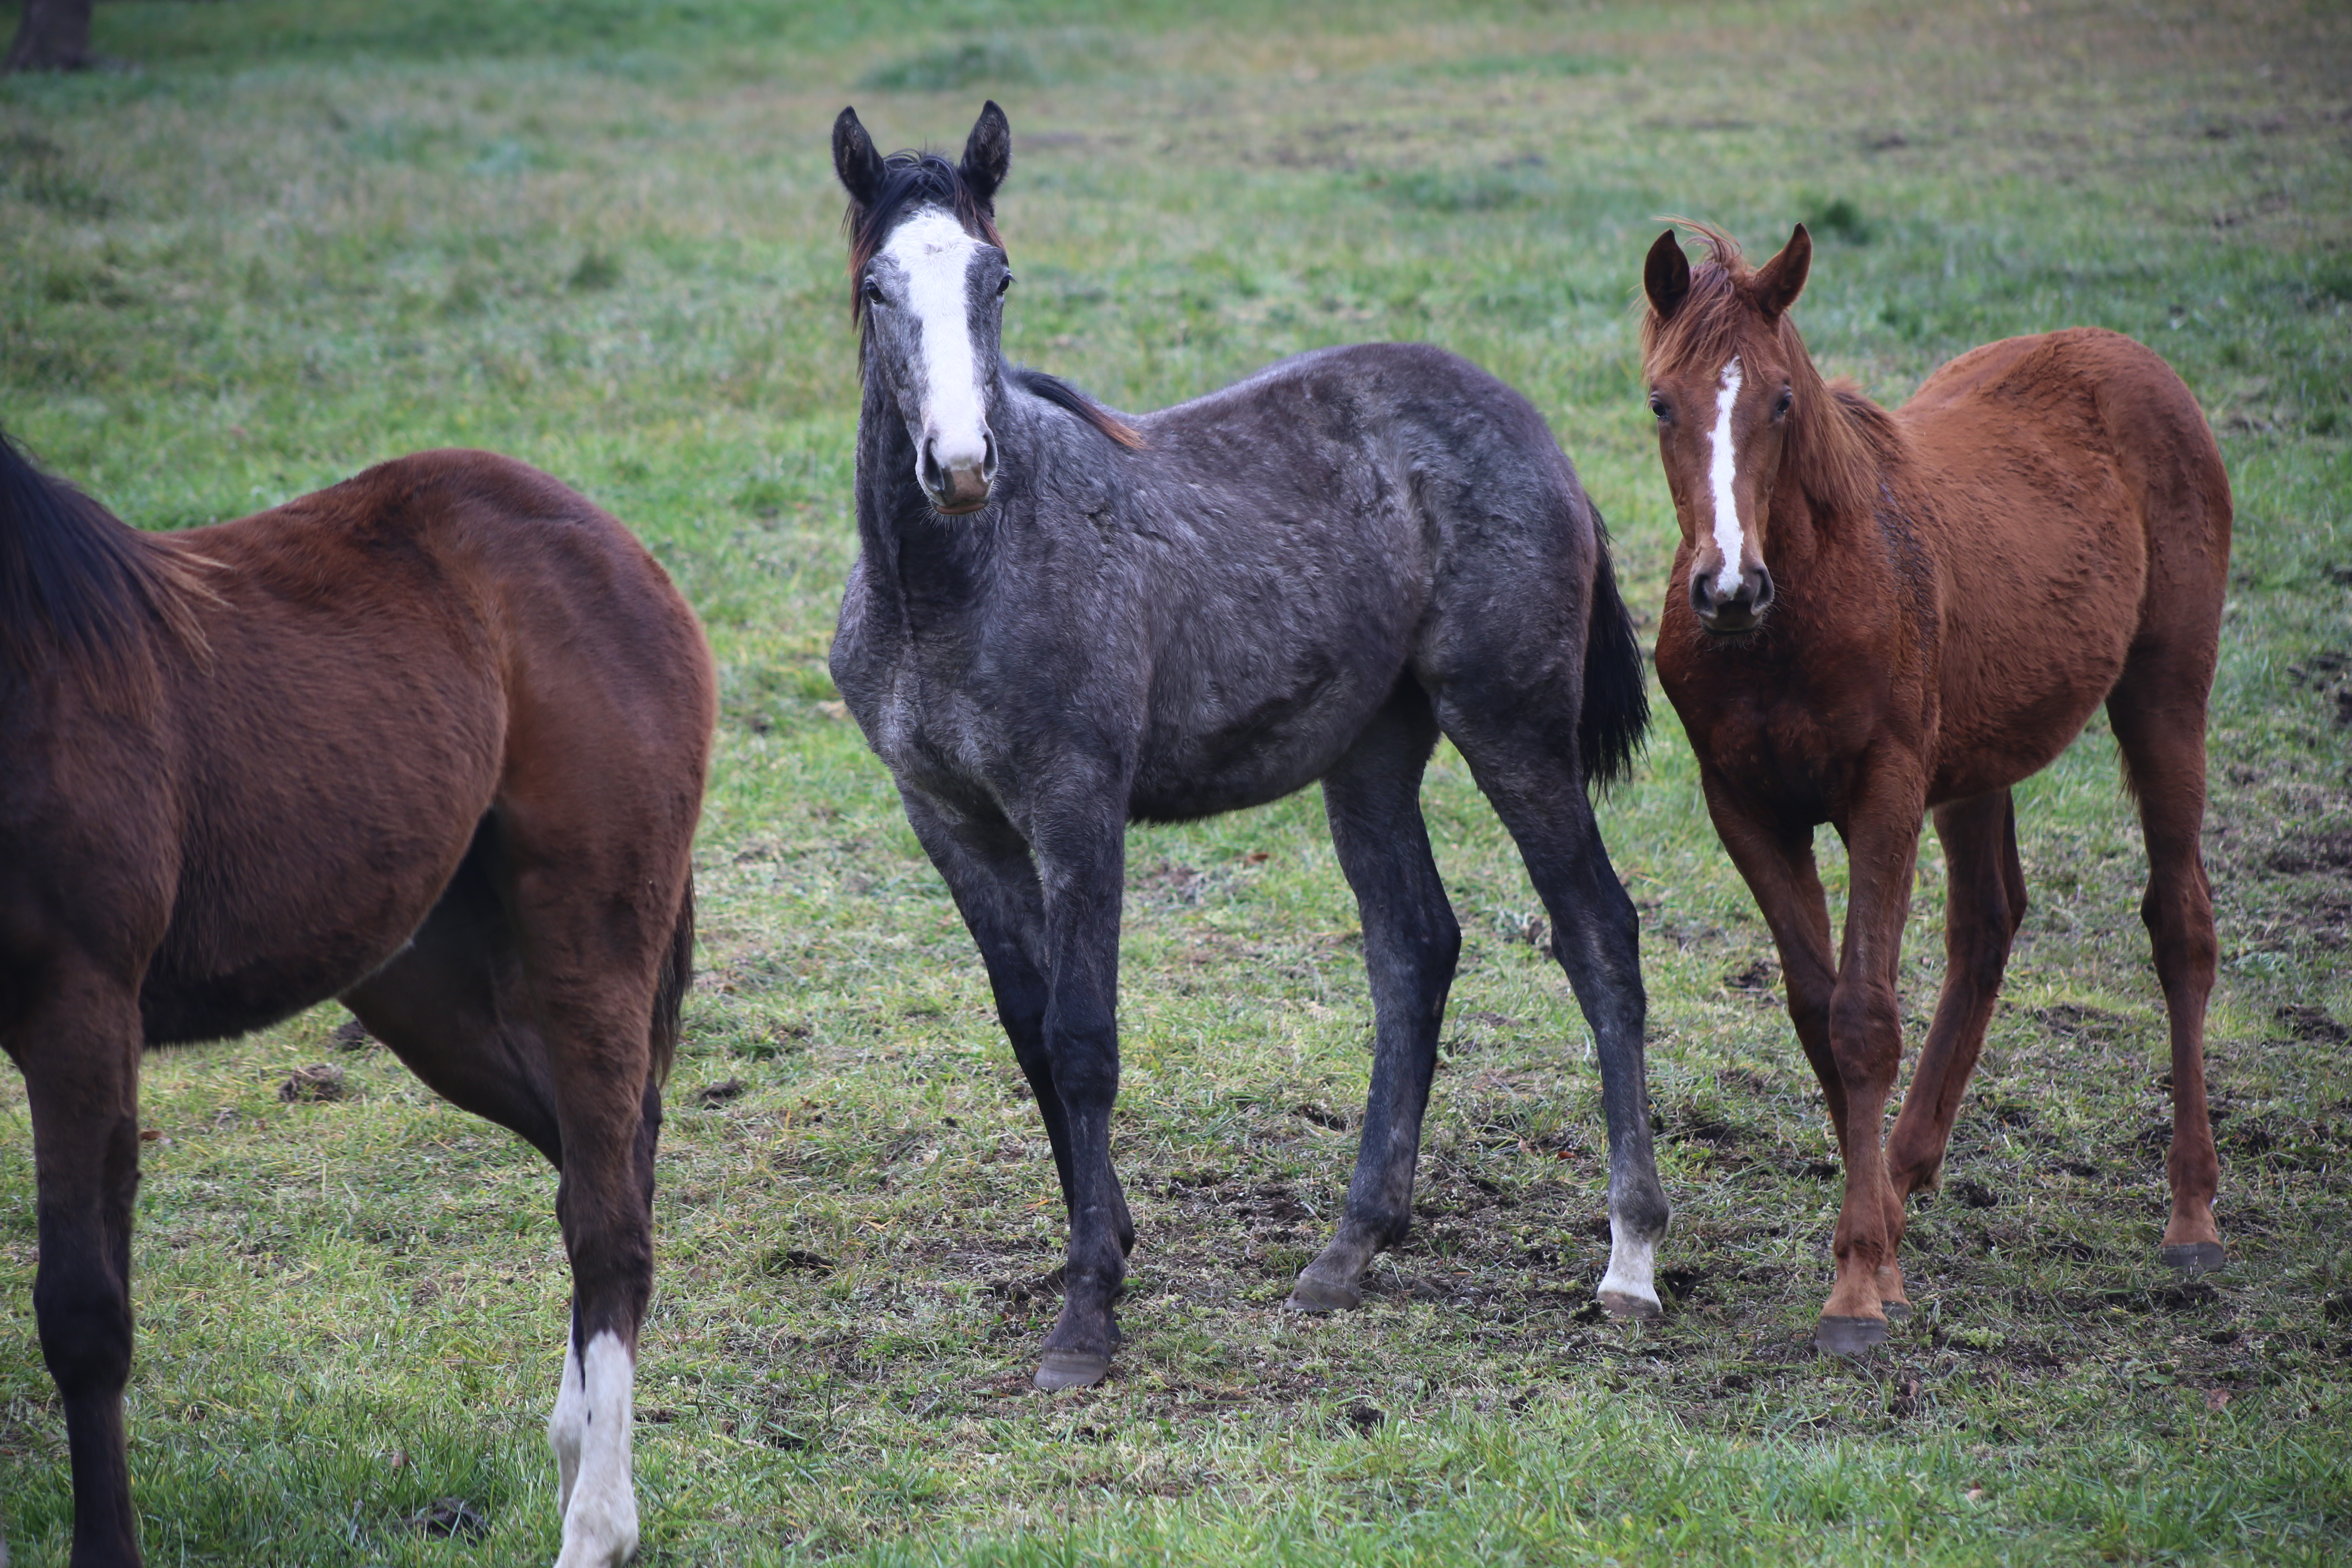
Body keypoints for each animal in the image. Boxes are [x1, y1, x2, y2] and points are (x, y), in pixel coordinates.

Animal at [2, 432, 715, 1568]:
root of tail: (607, 538)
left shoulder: (80, 1008)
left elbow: (83, 1315)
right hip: (428, 983)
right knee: (604, 1157)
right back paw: (573, 1454)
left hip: (589, 928)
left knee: (609, 1219)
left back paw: (597, 1525)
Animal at [828, 104, 1675, 1392]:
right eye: (875, 286)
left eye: (996, 276)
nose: (961, 464)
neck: (953, 583)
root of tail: (1536, 429)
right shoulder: (947, 817)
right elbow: (1027, 1032)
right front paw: (1107, 1236)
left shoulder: (1077, 805)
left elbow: (1082, 1037)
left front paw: (1087, 1315)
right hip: (1369, 753)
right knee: (1413, 948)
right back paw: (1351, 1245)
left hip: (1511, 725)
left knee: (1596, 933)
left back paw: (1629, 1257)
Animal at [1646, 223, 2230, 1363]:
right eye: (1660, 403)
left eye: (1781, 400)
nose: (1727, 589)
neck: (1796, 617)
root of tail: (2127, 357)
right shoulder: (1745, 808)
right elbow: (1815, 1011)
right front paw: (1879, 1251)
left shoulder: (1885, 792)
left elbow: (1865, 1016)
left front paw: (1856, 1290)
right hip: (1978, 761)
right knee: (1987, 923)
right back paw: (1910, 1170)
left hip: (2162, 697)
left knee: (2178, 924)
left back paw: (2190, 1219)